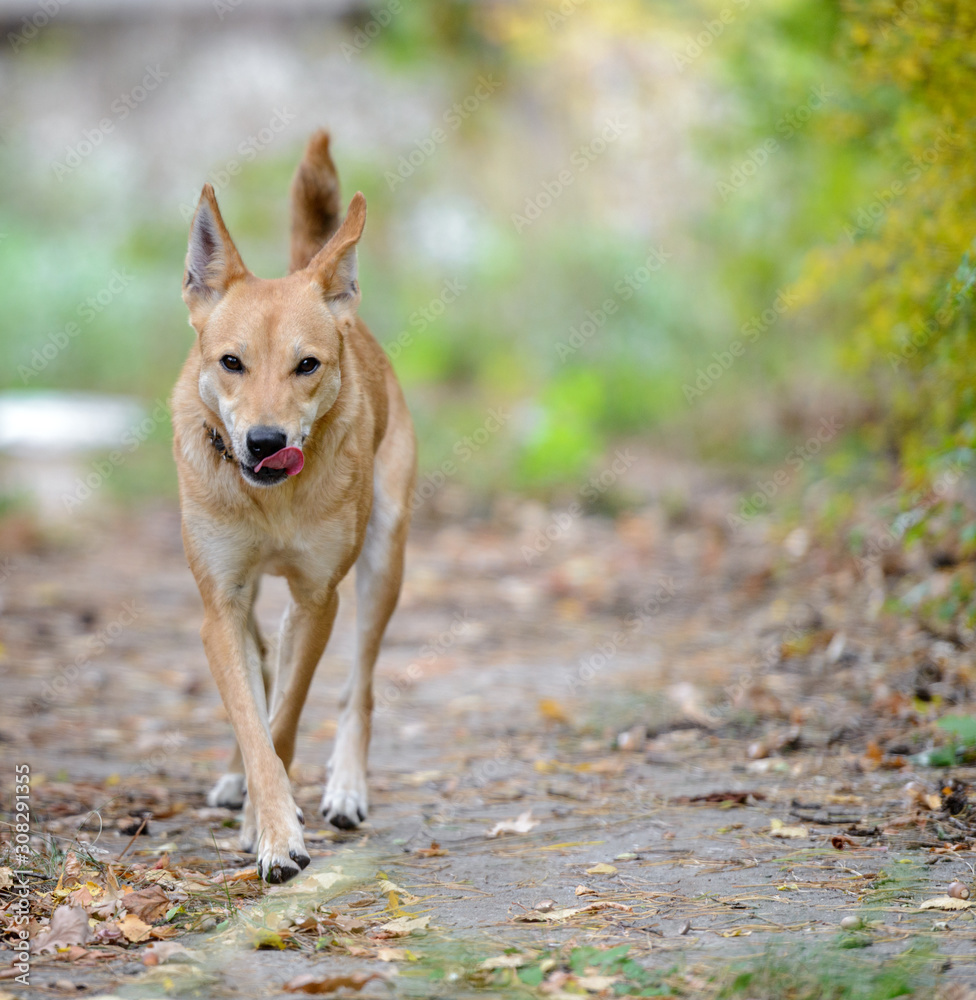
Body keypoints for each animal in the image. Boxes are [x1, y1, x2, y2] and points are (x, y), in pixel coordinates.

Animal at [172, 131, 416, 884]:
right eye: (231, 362)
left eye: (307, 365)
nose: (266, 442)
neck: (270, 503)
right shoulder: (219, 601)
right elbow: (254, 721)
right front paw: (270, 824)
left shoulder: (317, 599)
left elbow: (283, 721)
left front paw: (268, 828)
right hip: (251, 599)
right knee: (259, 667)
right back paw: (234, 780)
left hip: (383, 564)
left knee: (357, 687)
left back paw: (345, 788)